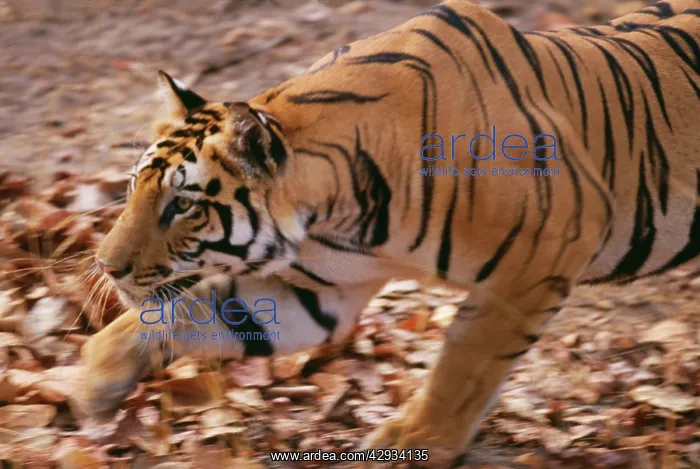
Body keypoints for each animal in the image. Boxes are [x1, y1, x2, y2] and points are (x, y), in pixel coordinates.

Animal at [75, 0, 700, 463]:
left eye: (182, 205)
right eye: (134, 187)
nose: (106, 265)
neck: (334, 215)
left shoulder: (542, 252)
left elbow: (465, 362)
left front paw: (414, 442)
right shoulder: (320, 288)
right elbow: (193, 314)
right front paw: (92, 381)